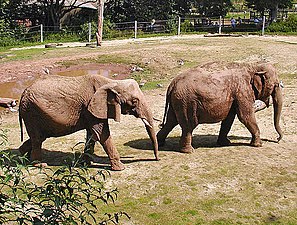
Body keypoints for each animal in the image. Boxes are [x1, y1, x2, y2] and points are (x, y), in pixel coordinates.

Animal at [19, 74, 160, 170]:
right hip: (31, 112)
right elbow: (102, 134)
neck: (112, 82)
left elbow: (92, 135)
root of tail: (22, 94)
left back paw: (22, 156)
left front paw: (85, 163)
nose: (157, 159)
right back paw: (39, 164)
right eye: (134, 101)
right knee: (38, 139)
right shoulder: (91, 107)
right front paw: (120, 168)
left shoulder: (91, 111)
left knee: (38, 138)